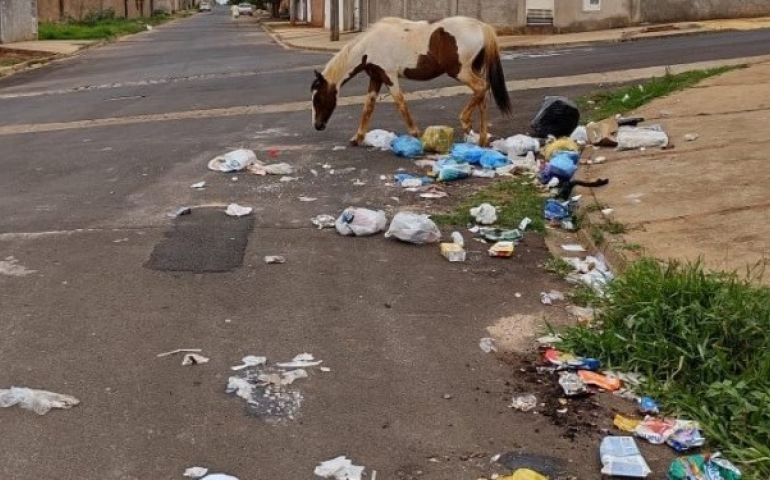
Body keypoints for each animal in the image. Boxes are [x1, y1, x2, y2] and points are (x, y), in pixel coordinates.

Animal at [312, 15, 510, 146]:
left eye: (318, 99)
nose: (317, 126)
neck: (369, 46)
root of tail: (481, 26)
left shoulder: (389, 77)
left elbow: (400, 104)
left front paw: (415, 133)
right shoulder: (376, 78)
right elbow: (368, 107)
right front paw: (358, 137)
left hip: (461, 71)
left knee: (481, 87)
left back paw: (465, 121)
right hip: (473, 69)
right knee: (482, 96)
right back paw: (482, 140)